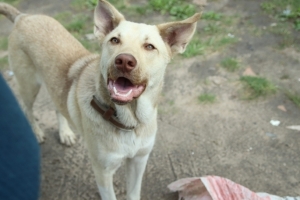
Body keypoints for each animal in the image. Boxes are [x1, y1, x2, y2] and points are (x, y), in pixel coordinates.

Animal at [0, 0, 202, 199]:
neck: (128, 120)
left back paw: (65, 133)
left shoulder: (138, 161)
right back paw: (36, 132)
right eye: (115, 40)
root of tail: (23, 16)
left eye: (149, 47)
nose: (124, 61)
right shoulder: (103, 171)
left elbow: (134, 193)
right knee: (27, 108)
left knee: (58, 106)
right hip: (29, 86)